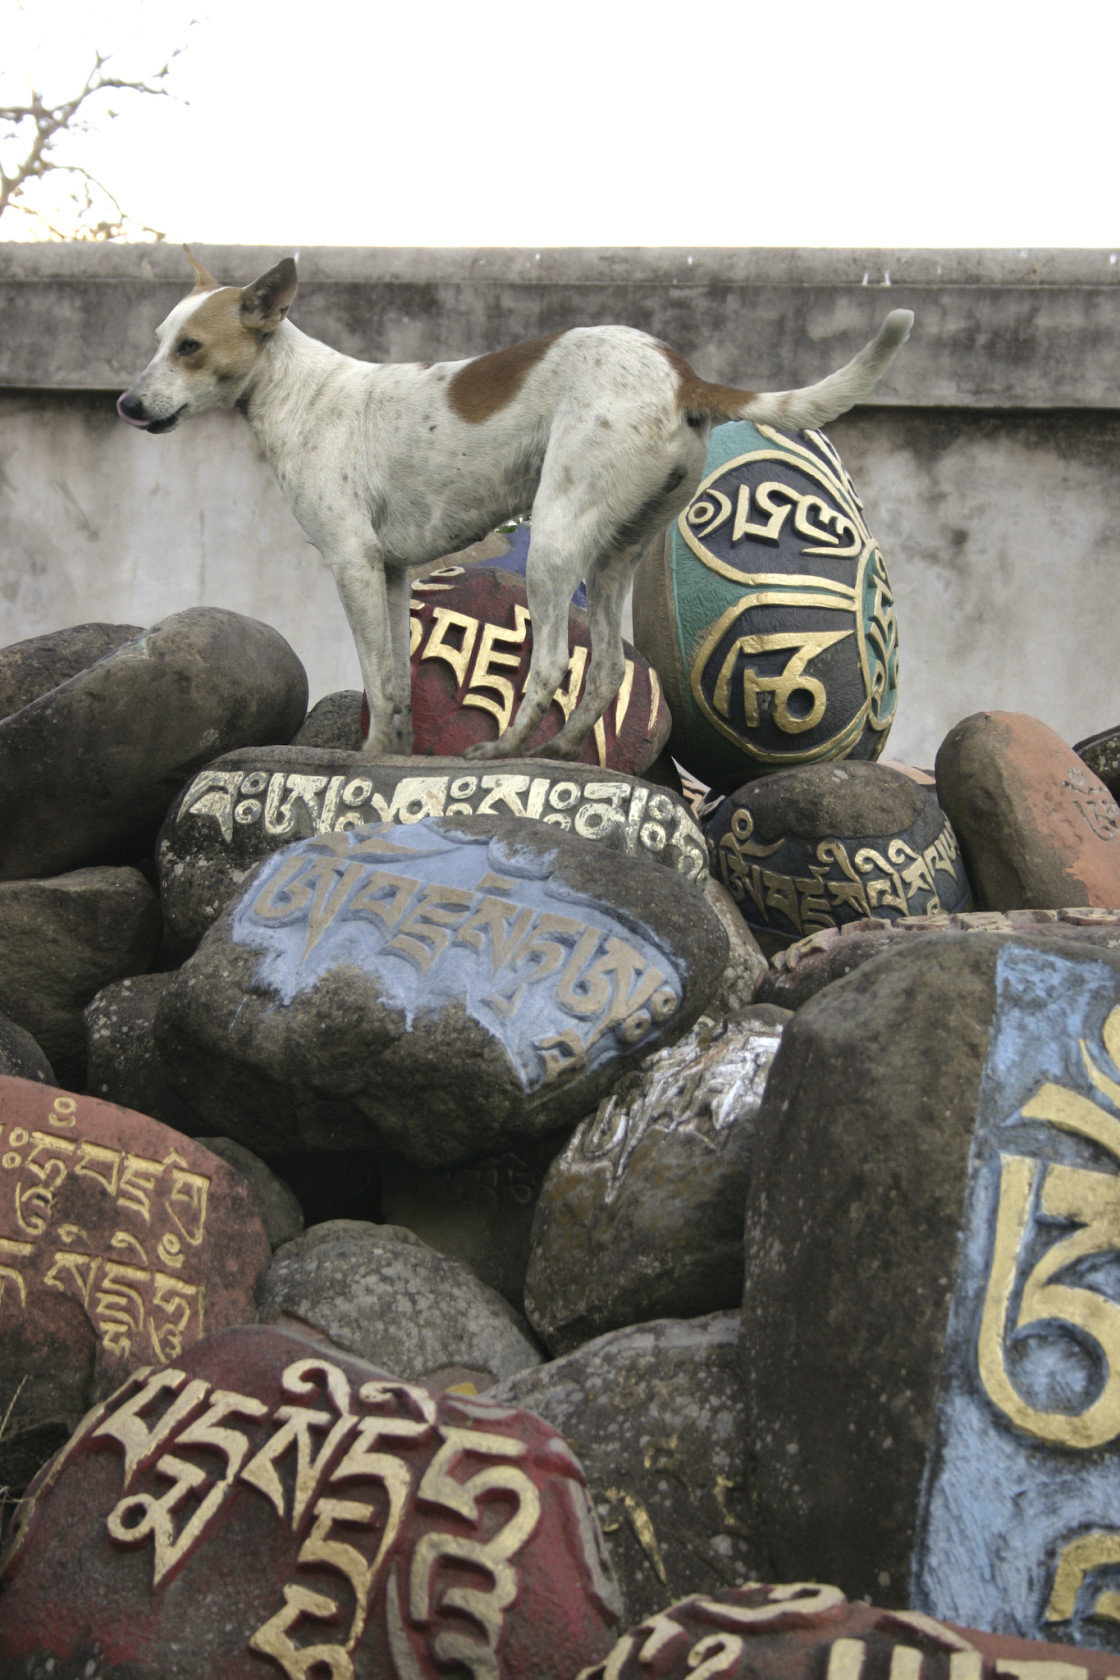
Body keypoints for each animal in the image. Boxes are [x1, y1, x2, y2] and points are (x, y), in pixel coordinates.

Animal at [118, 248, 913, 762]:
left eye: (190, 348)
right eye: (158, 341)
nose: (125, 404)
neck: (298, 392)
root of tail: (680, 373)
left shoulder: (351, 563)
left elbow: (376, 671)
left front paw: (368, 757)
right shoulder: (390, 572)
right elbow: (396, 681)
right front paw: (396, 752)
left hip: (556, 543)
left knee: (556, 661)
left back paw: (503, 748)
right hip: (614, 555)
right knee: (606, 671)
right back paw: (559, 749)